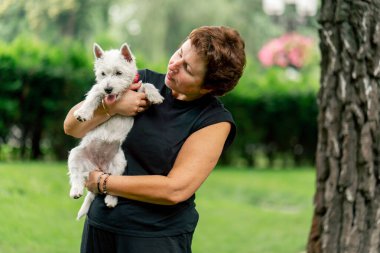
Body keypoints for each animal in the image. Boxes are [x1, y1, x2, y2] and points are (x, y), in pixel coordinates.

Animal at [68, 43, 163, 219]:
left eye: (119, 73)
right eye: (102, 74)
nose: (108, 89)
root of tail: (98, 166)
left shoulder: (139, 93)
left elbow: (147, 85)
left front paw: (155, 96)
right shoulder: (98, 88)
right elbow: (93, 96)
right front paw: (83, 113)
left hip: (119, 162)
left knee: (112, 183)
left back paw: (111, 200)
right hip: (76, 155)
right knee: (76, 175)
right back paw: (76, 190)